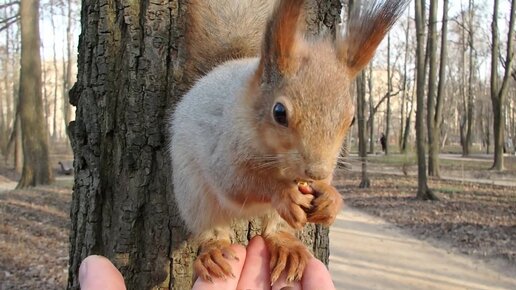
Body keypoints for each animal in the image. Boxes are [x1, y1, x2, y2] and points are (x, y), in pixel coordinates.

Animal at [171, 0, 410, 284]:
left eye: (351, 119)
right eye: (279, 112)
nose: (316, 171)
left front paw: (331, 198)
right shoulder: (222, 146)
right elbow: (236, 182)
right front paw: (282, 193)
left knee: (274, 229)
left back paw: (286, 246)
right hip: (194, 195)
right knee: (211, 228)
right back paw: (214, 251)